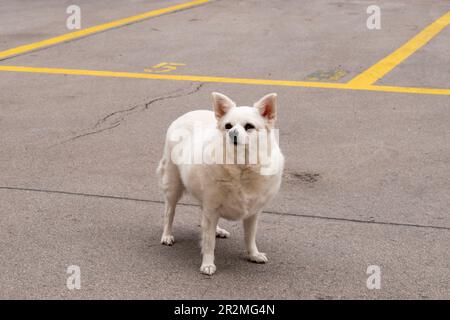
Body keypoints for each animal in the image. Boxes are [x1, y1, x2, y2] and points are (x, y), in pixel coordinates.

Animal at [158, 92, 284, 276]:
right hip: (173, 185)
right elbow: (209, 241)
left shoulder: (252, 212)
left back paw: (218, 230)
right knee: (169, 212)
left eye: (249, 127)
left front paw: (253, 254)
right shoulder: (212, 208)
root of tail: (184, 115)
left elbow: (250, 236)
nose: (232, 133)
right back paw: (167, 235)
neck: (240, 166)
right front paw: (208, 264)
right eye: (228, 126)